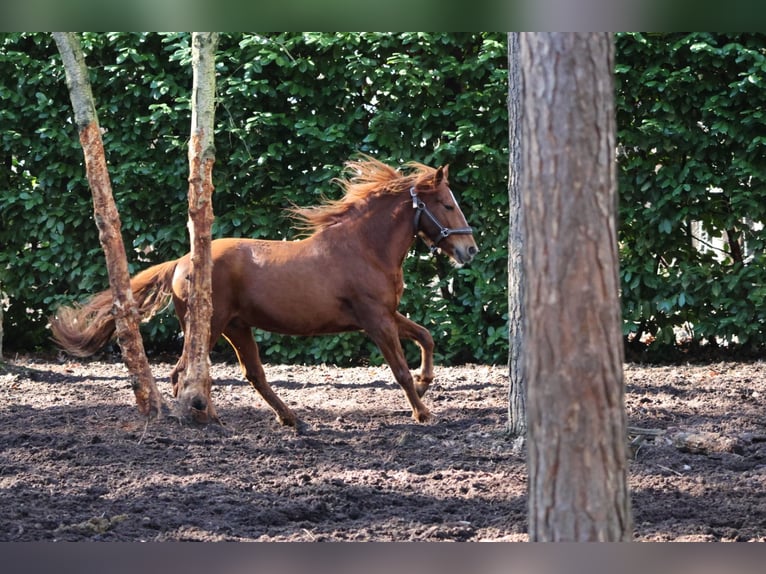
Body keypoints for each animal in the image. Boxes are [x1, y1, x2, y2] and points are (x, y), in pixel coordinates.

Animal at [49, 157, 478, 427]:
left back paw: (291, 419)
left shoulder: (386, 314)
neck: (364, 248)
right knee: (183, 372)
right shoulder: (375, 320)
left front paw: (425, 383)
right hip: (210, 325)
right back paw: (209, 418)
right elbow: (400, 369)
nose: (470, 249)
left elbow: (426, 336)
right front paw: (423, 412)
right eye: (446, 204)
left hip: (237, 327)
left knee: (252, 374)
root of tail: (183, 262)